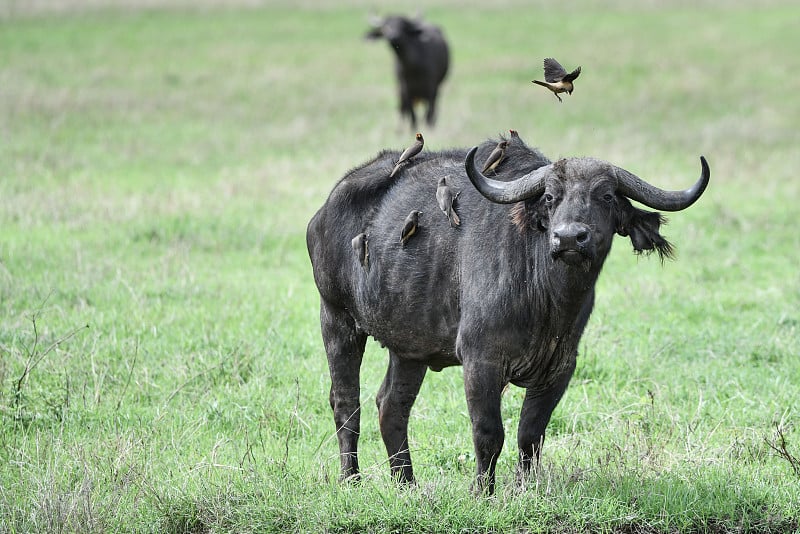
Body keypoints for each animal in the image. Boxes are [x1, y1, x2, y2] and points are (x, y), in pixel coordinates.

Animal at [308, 133, 712, 494]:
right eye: (550, 197)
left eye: (608, 196)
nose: (569, 238)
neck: (545, 298)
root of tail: (325, 210)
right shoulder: (480, 361)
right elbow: (489, 432)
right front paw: (482, 491)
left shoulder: (560, 367)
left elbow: (530, 433)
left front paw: (523, 488)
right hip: (336, 319)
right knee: (346, 402)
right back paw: (352, 480)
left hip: (409, 348)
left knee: (392, 405)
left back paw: (406, 484)